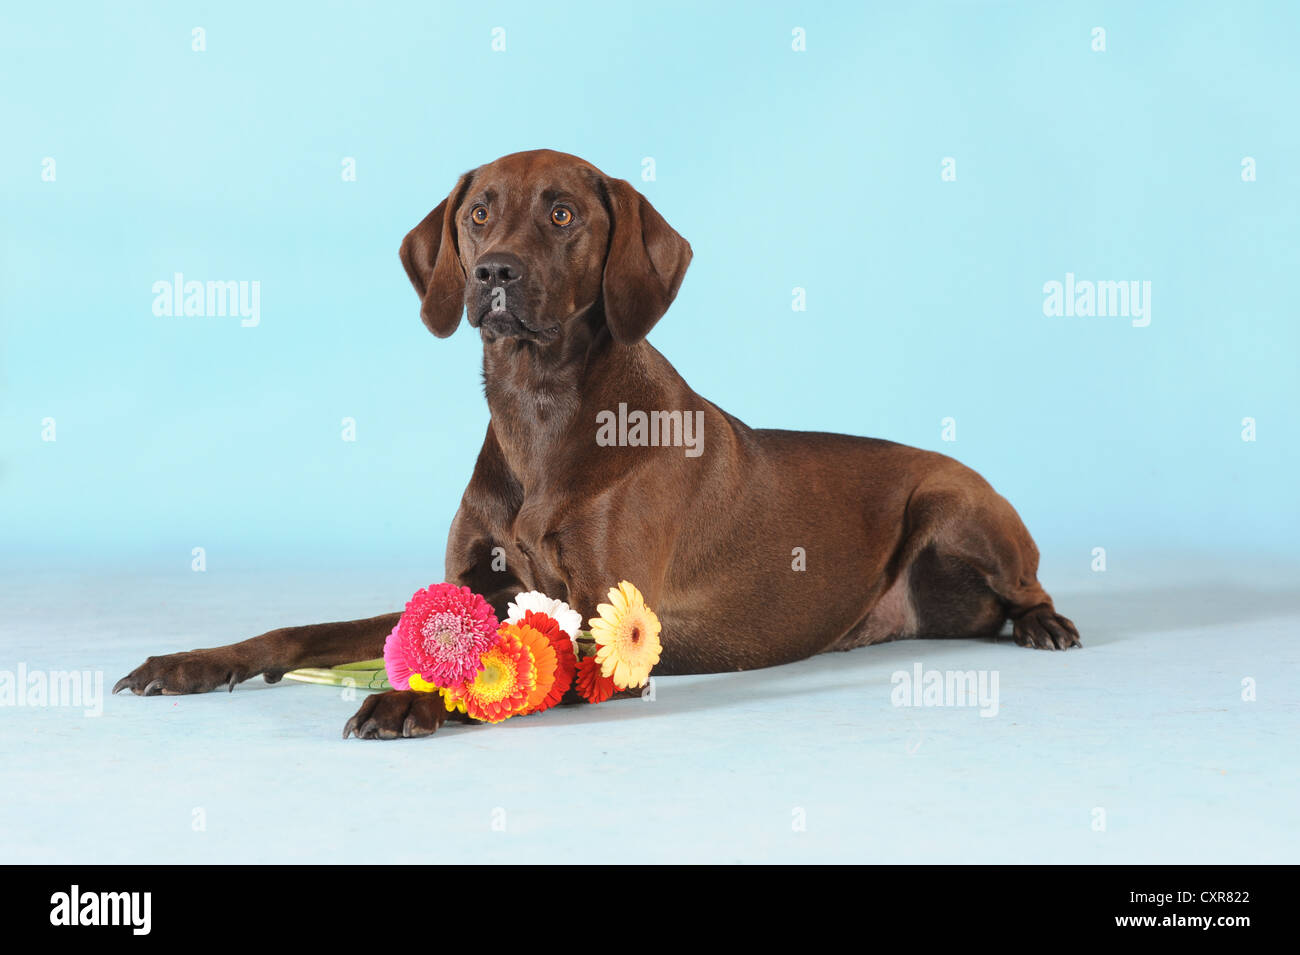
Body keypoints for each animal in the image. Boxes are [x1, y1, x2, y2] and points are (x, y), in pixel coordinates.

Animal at [116, 149, 1081, 738]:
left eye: (562, 214)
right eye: (478, 213)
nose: (493, 272)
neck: (539, 414)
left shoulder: (605, 624)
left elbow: (501, 668)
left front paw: (406, 701)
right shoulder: (474, 587)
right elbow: (306, 628)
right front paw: (190, 662)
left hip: (955, 501)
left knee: (1028, 587)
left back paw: (1045, 624)